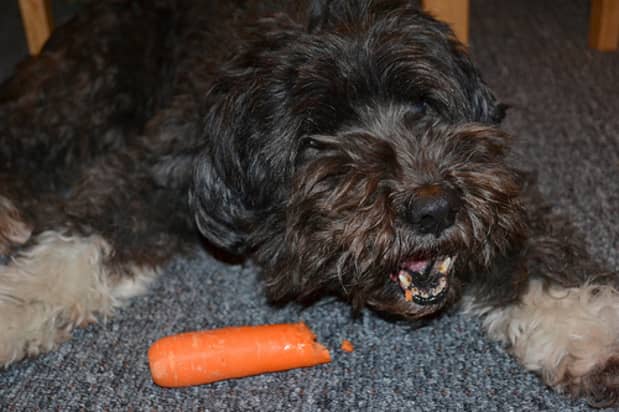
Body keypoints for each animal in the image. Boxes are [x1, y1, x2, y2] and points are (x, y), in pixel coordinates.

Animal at [0, 0, 616, 406]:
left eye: (424, 105)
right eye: (318, 137)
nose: (433, 207)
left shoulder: (494, 177)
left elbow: (538, 247)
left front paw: (593, 332)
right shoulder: (162, 163)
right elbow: (82, 235)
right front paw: (17, 305)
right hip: (88, 81)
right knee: (28, 127)